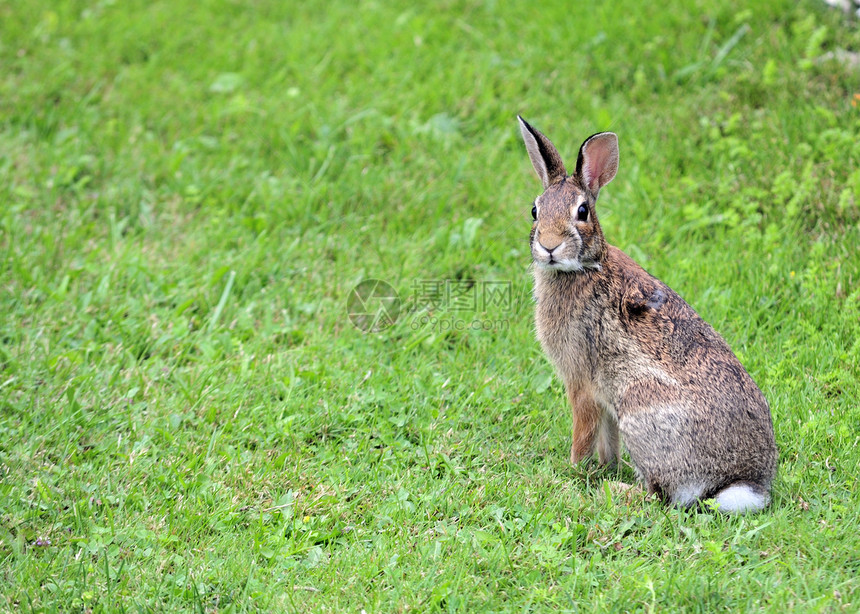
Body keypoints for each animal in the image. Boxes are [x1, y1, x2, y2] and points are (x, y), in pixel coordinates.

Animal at [516, 115, 780, 516]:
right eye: (535, 210)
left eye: (582, 212)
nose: (548, 246)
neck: (585, 267)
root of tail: (741, 483)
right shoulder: (603, 399)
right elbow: (606, 440)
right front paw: (605, 467)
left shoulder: (581, 382)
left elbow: (583, 432)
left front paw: (573, 473)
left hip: (639, 405)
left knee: (660, 496)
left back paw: (615, 492)